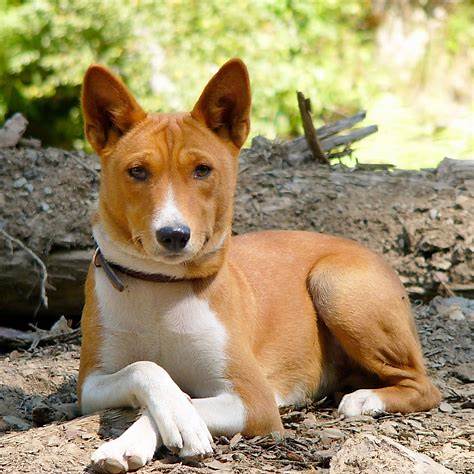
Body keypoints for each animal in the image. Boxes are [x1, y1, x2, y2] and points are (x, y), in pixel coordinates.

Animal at [78, 57, 440, 472]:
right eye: (137, 171)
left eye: (202, 170)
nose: (173, 234)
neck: (162, 290)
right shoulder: (91, 384)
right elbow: (147, 369)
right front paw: (146, 431)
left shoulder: (253, 400)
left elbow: (186, 401)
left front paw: (170, 426)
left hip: (335, 286)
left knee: (426, 386)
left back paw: (366, 399)